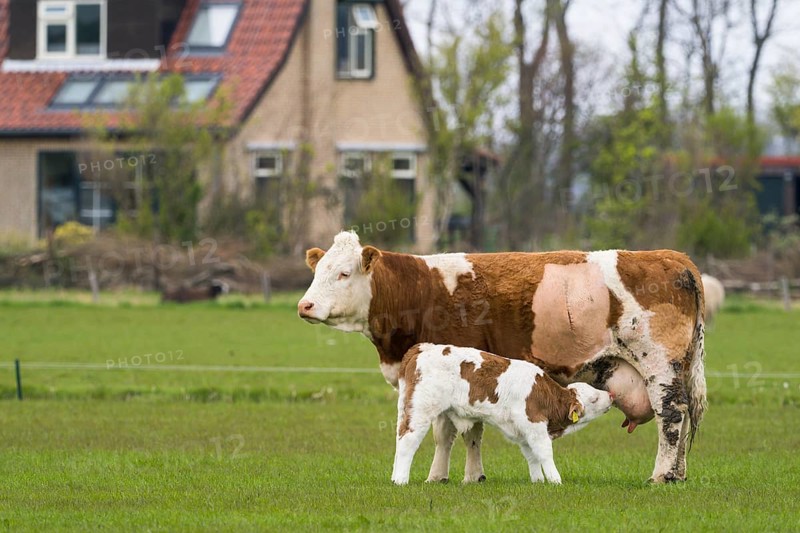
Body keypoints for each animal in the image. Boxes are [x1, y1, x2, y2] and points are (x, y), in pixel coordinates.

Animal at [391, 343, 614, 485]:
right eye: (594, 399)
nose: (611, 395)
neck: (543, 394)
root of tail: (423, 347)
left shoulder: (523, 432)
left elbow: (532, 456)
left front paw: (538, 480)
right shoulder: (535, 425)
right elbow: (544, 453)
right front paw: (555, 480)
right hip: (421, 409)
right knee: (408, 440)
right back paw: (401, 480)